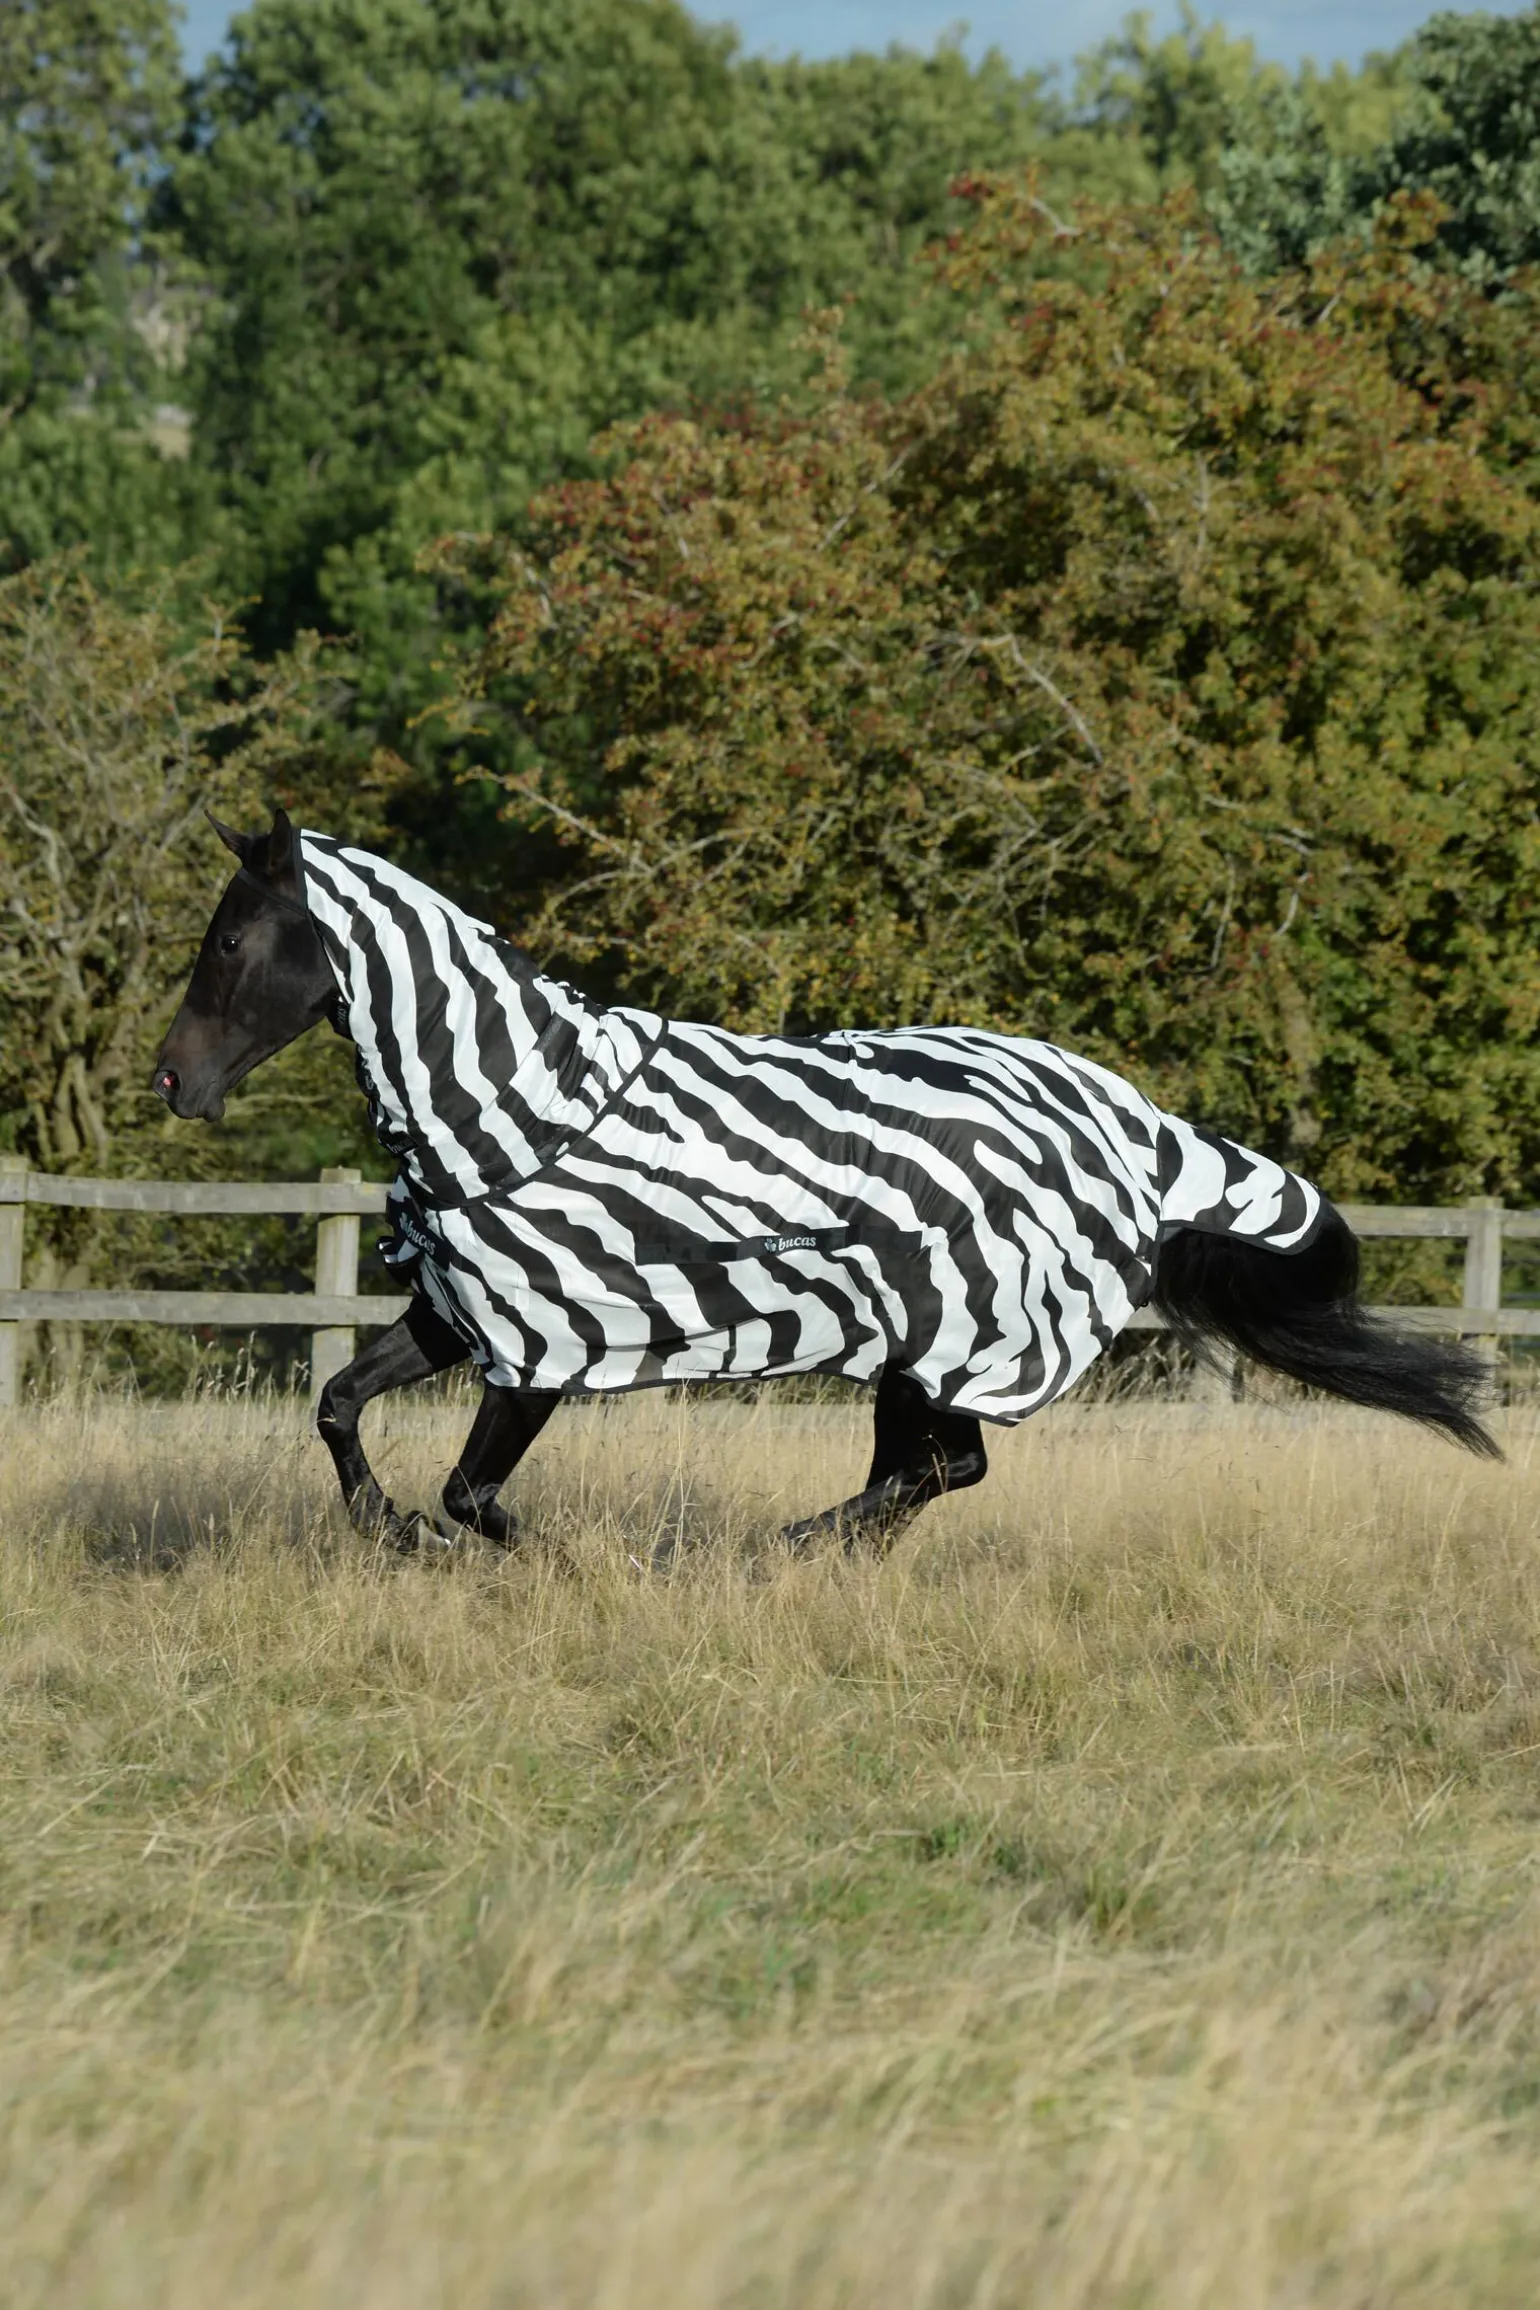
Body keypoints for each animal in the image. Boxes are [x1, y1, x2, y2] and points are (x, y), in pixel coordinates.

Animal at [151, 809, 1497, 1553]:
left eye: (232, 939)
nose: (170, 1082)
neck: (518, 1106)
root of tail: (1137, 1127)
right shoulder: (455, 1311)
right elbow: (339, 1404)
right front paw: (390, 1538)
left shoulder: (542, 1348)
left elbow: (472, 1495)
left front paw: (557, 1560)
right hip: (918, 1356)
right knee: (930, 1474)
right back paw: (814, 1550)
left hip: (949, 1345)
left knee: (934, 1470)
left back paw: (782, 1547)